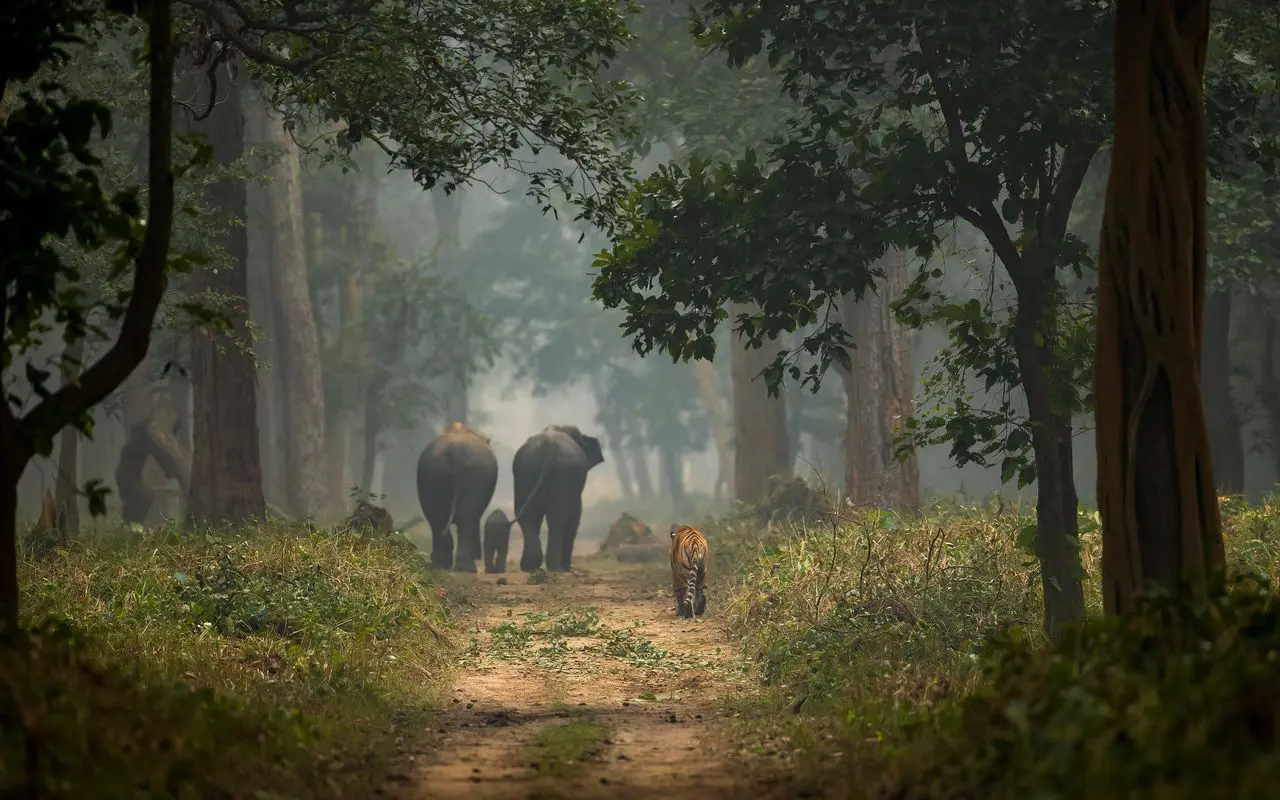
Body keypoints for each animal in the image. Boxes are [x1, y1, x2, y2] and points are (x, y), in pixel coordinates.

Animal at [416, 421, 499, 571]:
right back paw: (465, 568)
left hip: (430, 473)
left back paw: (441, 564)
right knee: (466, 517)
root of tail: (453, 452)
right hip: (474, 473)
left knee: (437, 516)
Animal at [511, 424, 605, 573]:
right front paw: (567, 568)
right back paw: (557, 568)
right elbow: (575, 517)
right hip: (563, 476)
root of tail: (548, 450)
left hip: (524, 474)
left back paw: (529, 567)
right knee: (557, 519)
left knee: (527, 515)